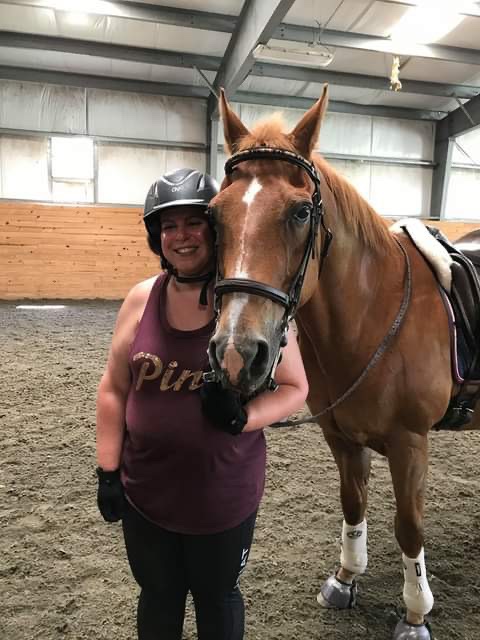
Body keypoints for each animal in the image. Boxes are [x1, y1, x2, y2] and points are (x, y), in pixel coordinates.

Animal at [206, 85, 480, 640]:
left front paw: (415, 612)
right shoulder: (340, 436)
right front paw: (346, 578)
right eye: (216, 214)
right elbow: (352, 503)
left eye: (300, 213)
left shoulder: (410, 443)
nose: (237, 353)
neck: (371, 317)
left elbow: (409, 525)